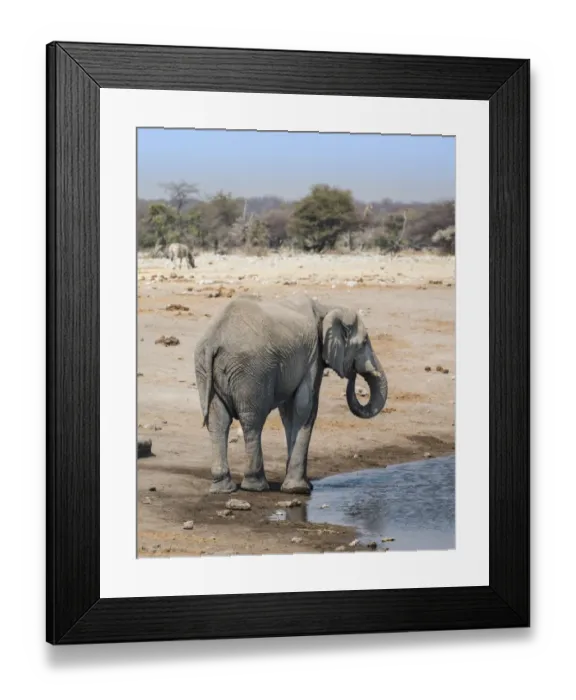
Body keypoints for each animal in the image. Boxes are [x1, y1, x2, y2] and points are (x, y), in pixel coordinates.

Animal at [194, 293, 388, 495]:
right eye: (364, 342)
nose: (352, 374)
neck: (327, 308)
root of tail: (214, 339)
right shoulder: (313, 358)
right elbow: (305, 408)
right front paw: (298, 489)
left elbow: (289, 413)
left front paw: (301, 486)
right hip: (252, 372)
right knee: (252, 421)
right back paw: (256, 486)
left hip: (205, 368)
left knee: (218, 422)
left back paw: (223, 488)